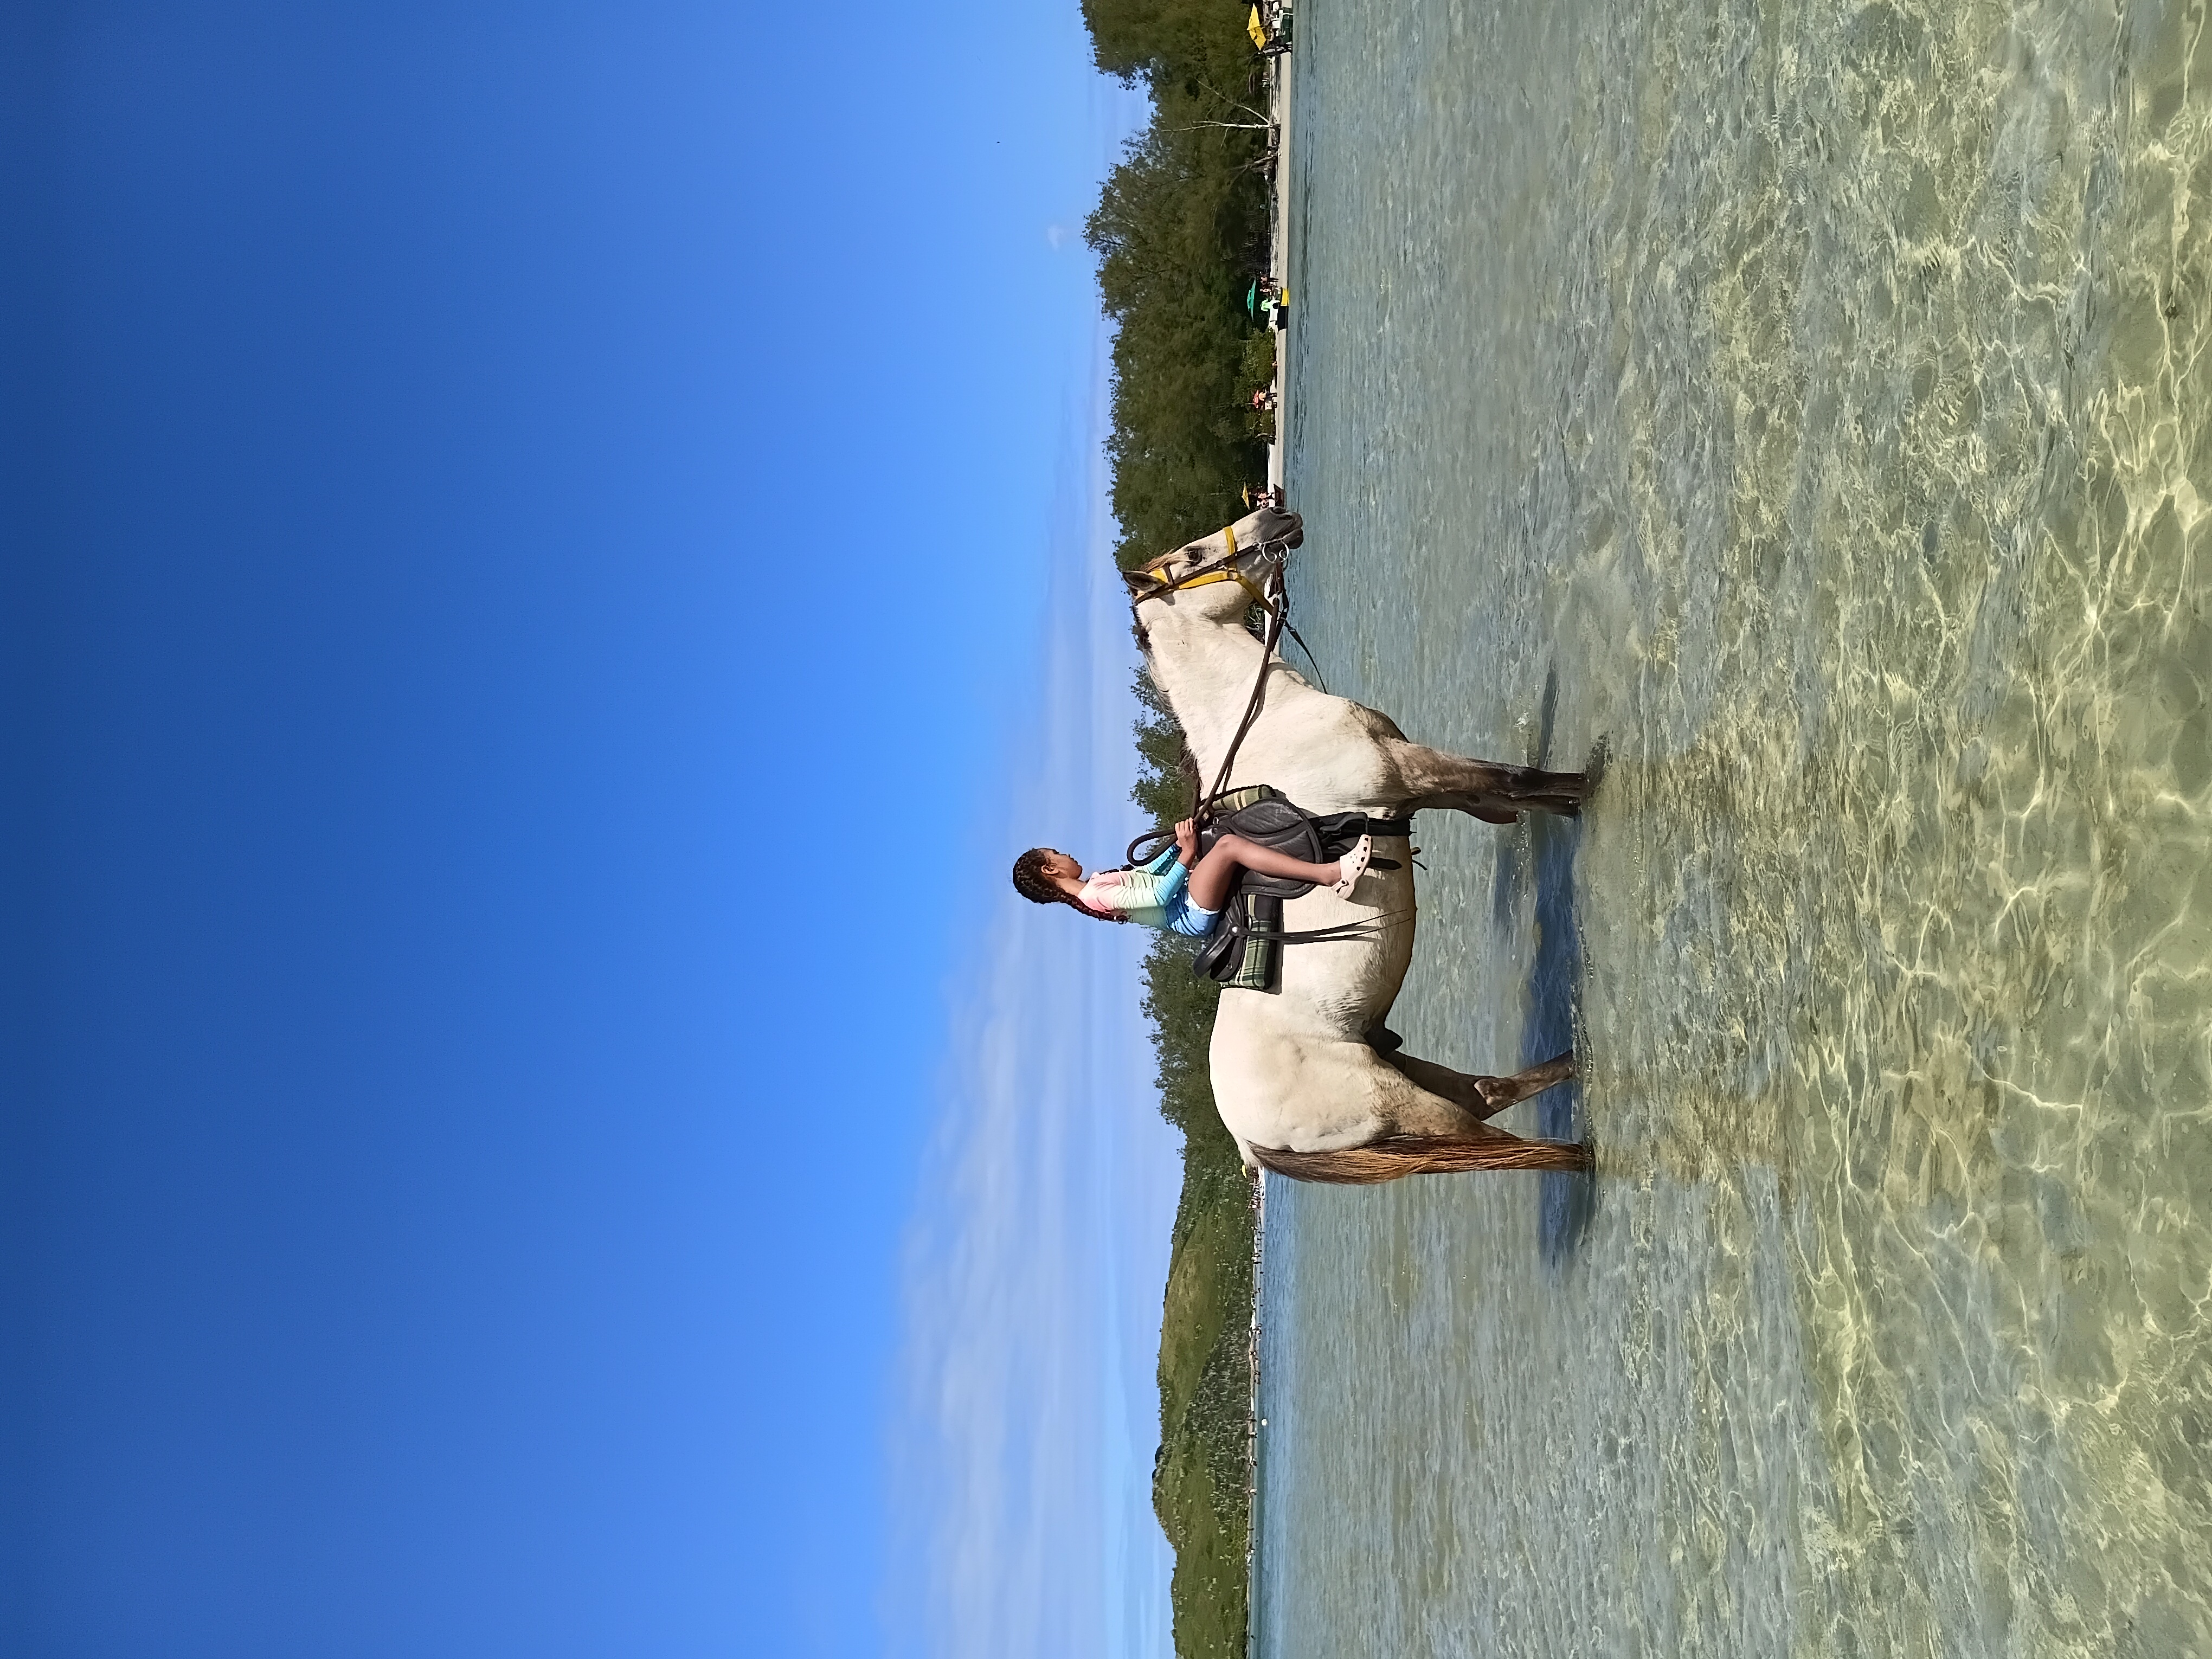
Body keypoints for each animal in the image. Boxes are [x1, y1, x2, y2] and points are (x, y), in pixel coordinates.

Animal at [1127, 505, 1594, 1182]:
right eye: (1192, 555)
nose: (1276, 512)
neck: (1272, 718)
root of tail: (1250, 1142)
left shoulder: (1417, 788)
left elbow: (1505, 794)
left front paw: (1566, 804)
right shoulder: (1410, 771)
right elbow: (1514, 779)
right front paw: (1592, 786)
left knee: (1487, 1092)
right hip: (1410, 1111)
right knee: (1498, 1139)